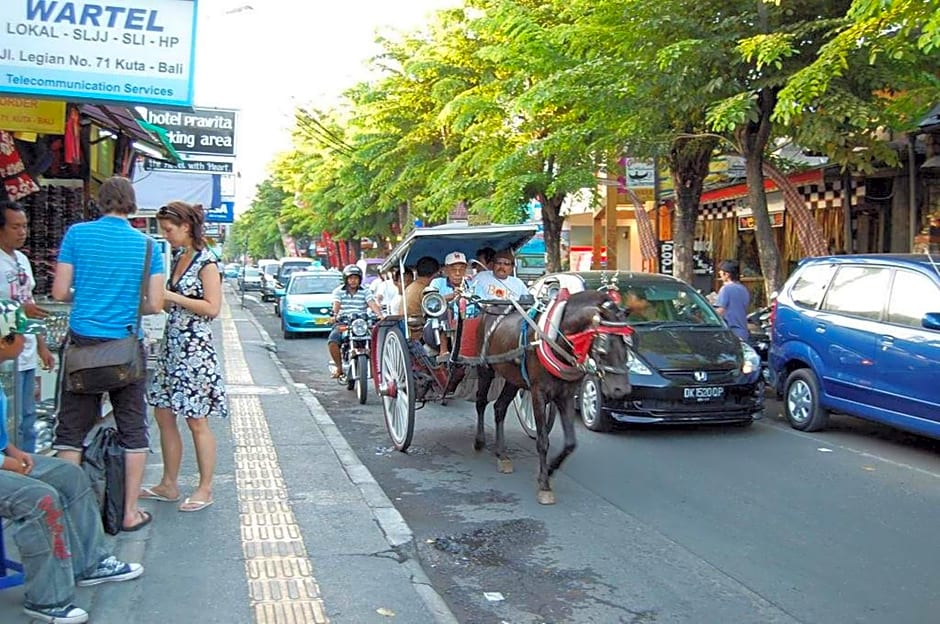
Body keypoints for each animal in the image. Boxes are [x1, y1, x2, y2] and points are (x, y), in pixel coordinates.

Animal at [470, 290, 632, 504]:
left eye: (629, 343)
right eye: (603, 344)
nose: (621, 389)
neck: (556, 340)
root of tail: (489, 308)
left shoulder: (566, 396)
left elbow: (571, 443)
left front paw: (550, 469)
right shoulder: (538, 393)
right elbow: (543, 441)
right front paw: (545, 485)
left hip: (513, 379)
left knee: (499, 408)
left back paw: (502, 454)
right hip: (485, 369)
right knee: (481, 402)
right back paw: (479, 442)